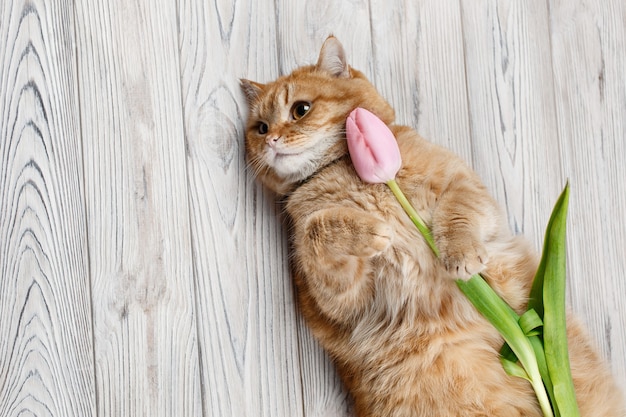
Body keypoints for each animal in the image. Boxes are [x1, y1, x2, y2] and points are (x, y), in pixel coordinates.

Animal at [240, 36, 624, 416]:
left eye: (300, 110)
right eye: (260, 128)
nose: (271, 141)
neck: (342, 171)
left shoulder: (462, 185)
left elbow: (458, 215)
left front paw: (460, 254)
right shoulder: (340, 298)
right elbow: (315, 230)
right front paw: (372, 230)